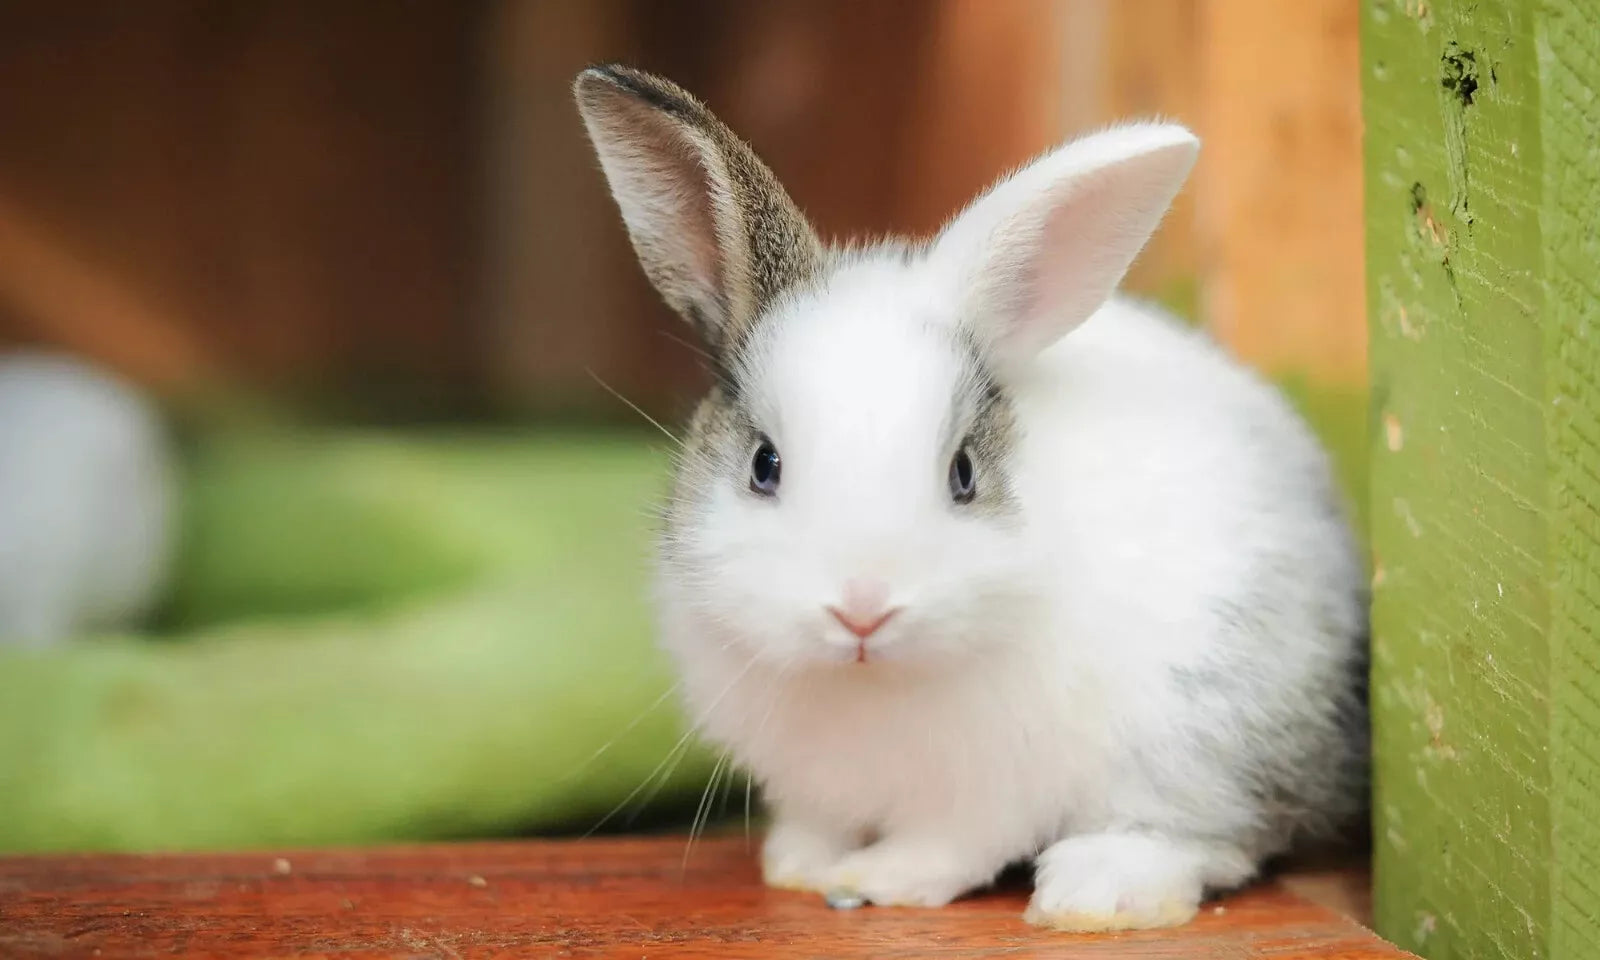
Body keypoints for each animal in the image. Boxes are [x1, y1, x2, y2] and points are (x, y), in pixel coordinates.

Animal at [574, 64, 1368, 931]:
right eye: (764, 464)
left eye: (963, 474)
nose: (862, 609)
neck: (870, 681)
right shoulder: (812, 784)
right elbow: (818, 823)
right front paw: (797, 868)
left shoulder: (990, 793)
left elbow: (951, 846)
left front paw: (880, 880)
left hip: (1208, 728)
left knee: (1210, 834)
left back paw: (1096, 892)